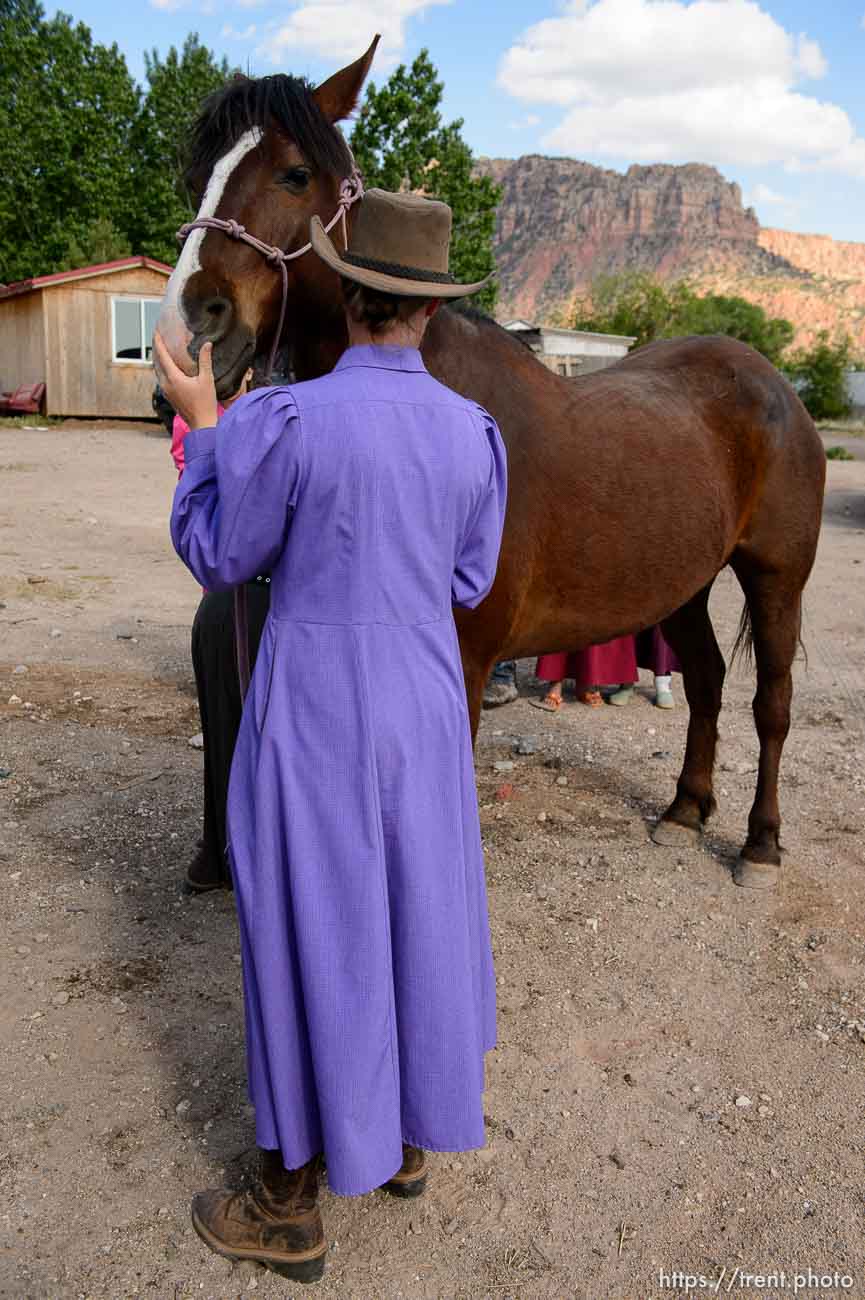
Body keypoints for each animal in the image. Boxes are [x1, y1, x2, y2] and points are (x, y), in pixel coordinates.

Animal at [155, 43, 822, 894]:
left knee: (771, 704)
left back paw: (760, 844)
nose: (187, 333)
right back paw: (682, 809)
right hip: (683, 582)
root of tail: (770, 382)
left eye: (294, 173)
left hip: (774, 576)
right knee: (705, 681)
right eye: (196, 174)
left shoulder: (465, 661)